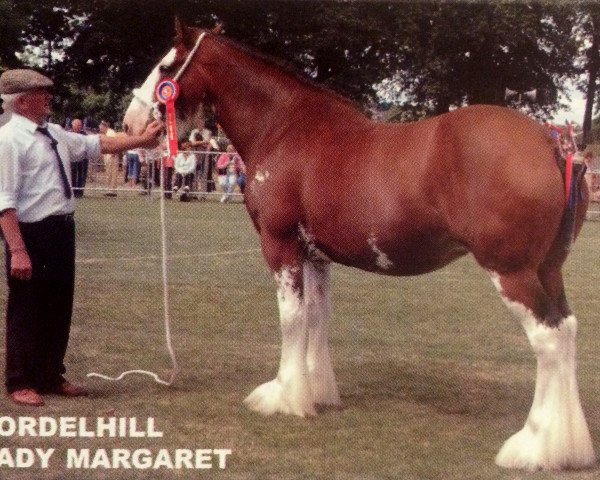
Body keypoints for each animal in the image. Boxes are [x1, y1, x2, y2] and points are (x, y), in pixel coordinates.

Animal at [123, 20, 596, 470]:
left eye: (166, 67)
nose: (130, 123)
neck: (285, 128)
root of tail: (552, 143)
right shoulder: (315, 256)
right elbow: (317, 317)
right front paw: (316, 391)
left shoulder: (280, 246)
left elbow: (292, 318)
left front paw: (284, 397)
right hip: (548, 269)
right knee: (569, 330)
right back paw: (569, 447)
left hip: (511, 270)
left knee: (548, 339)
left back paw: (533, 447)